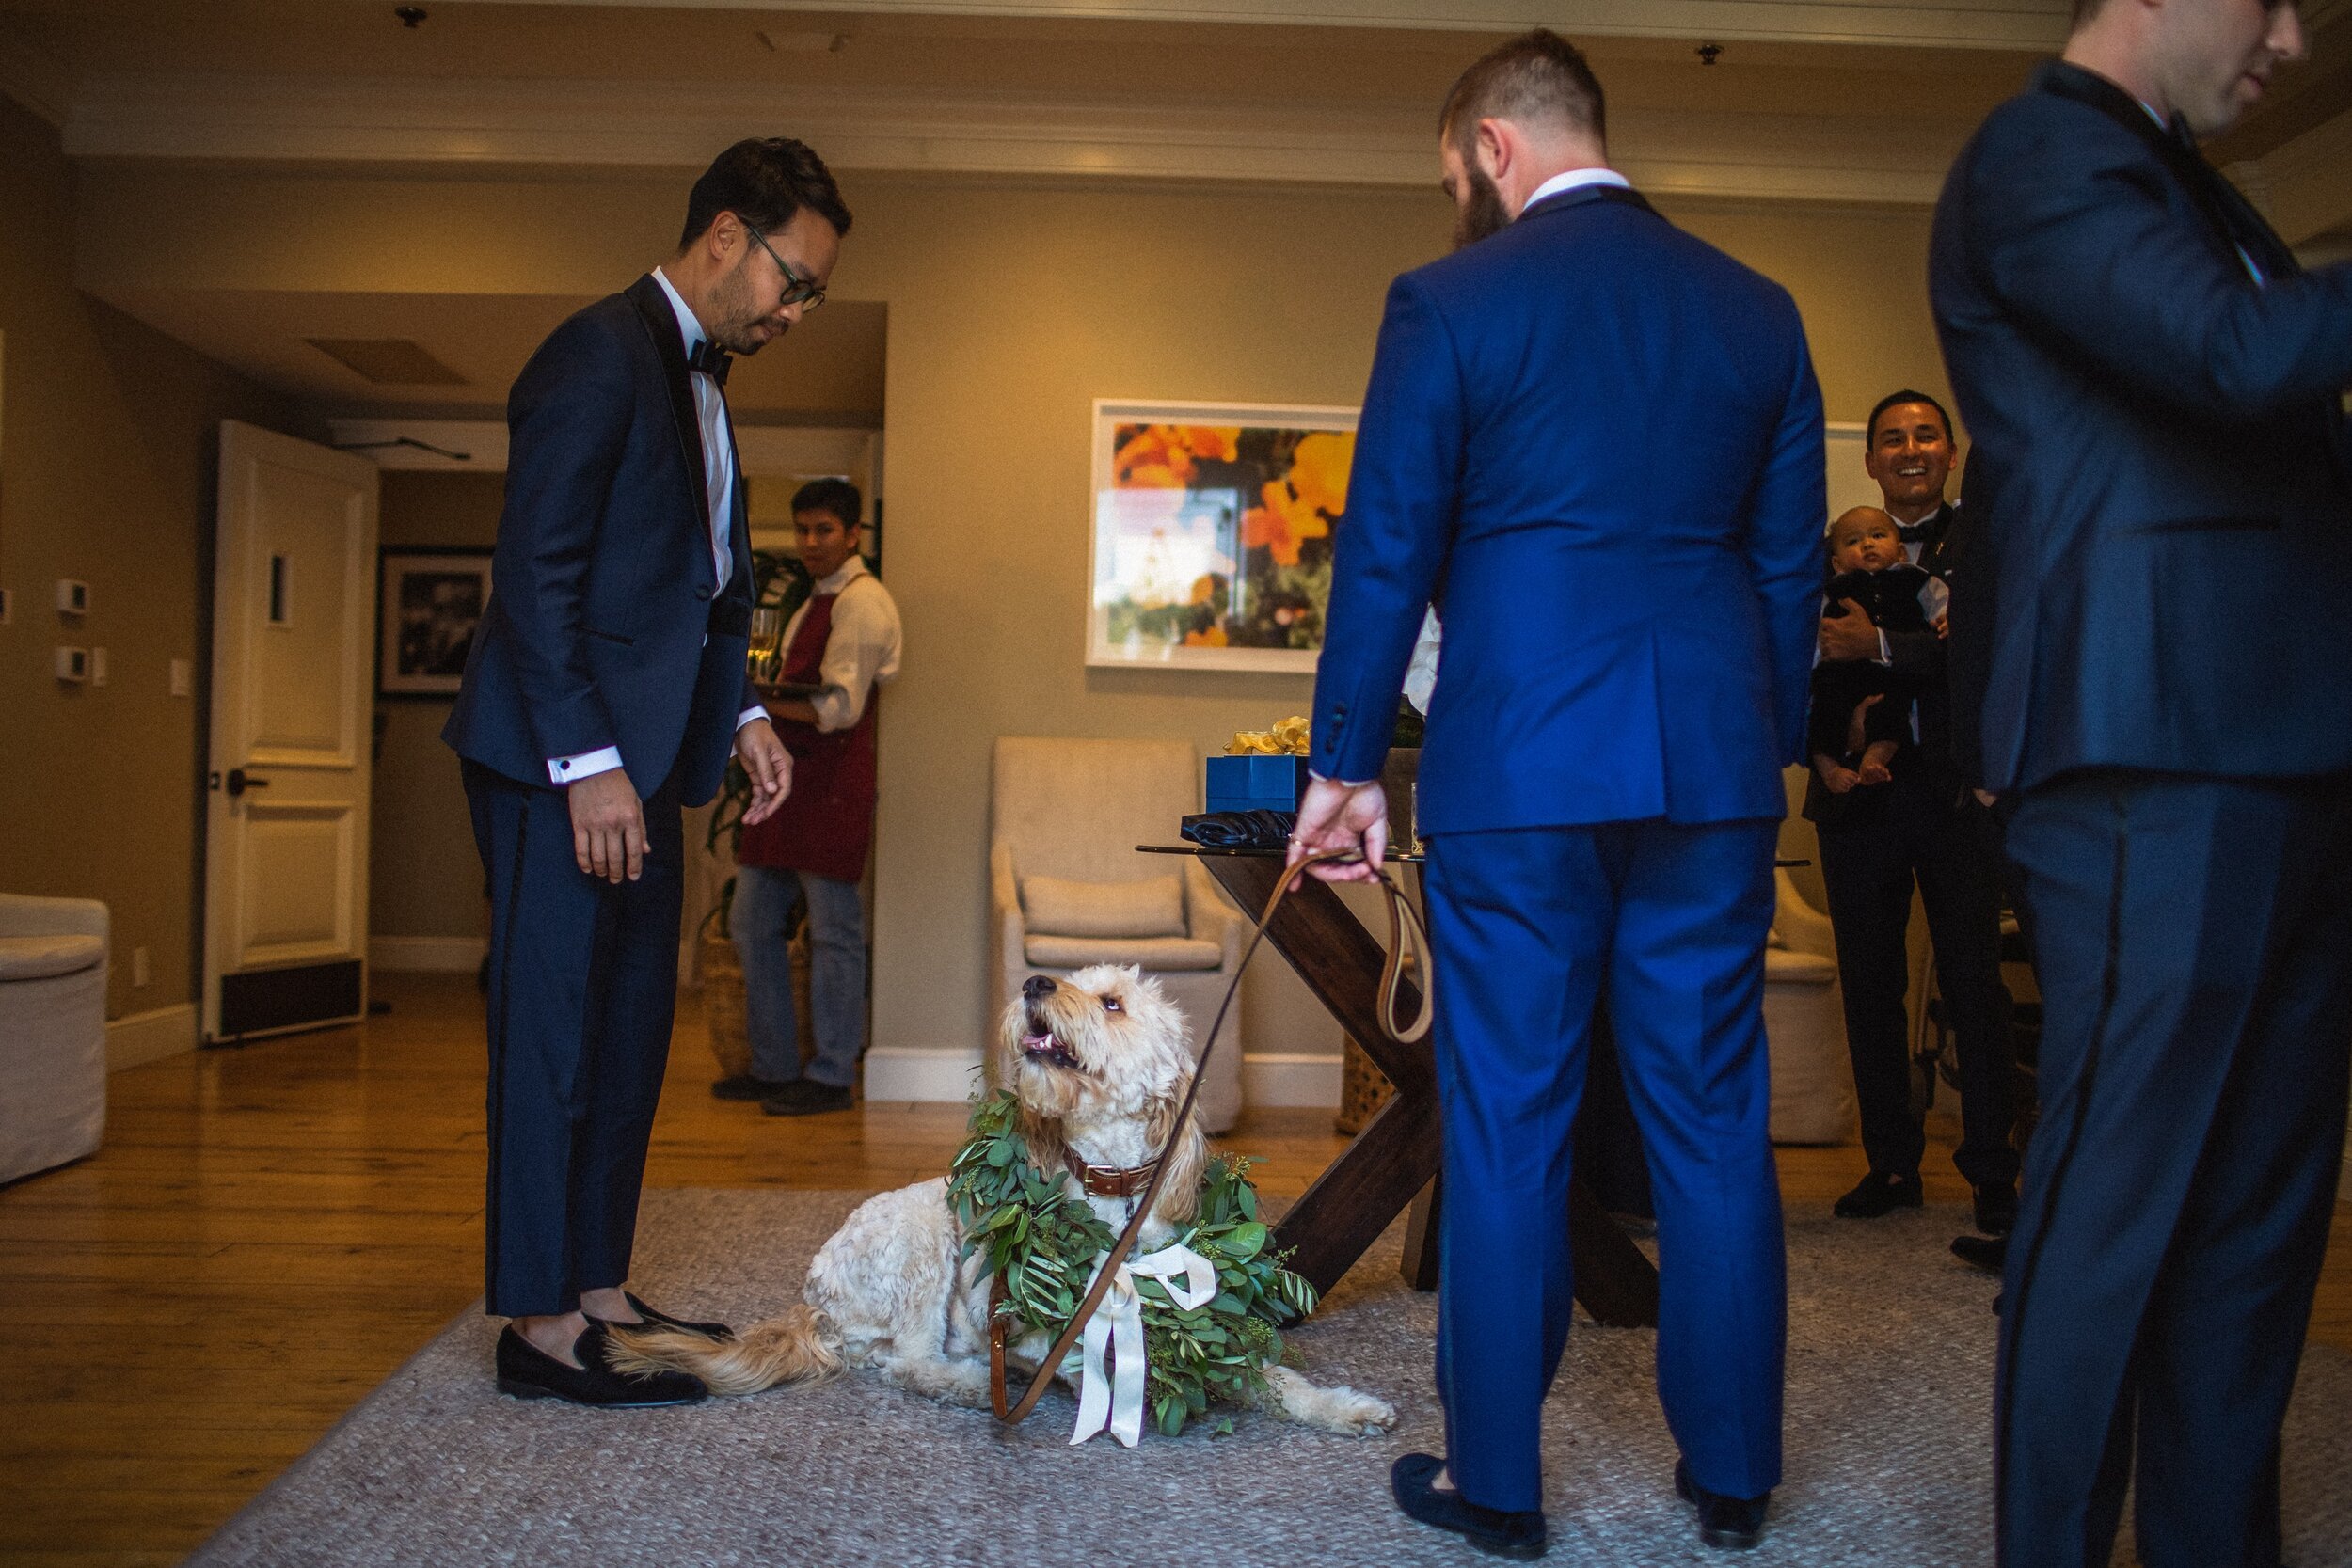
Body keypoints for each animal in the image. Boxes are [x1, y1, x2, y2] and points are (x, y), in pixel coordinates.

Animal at [616, 958, 1402, 1438]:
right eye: (1077, 982)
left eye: (1112, 1002)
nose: (1034, 982)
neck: (1109, 1188)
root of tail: (816, 1299)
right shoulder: (1040, 1323)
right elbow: (1086, 1359)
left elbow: (1270, 1374)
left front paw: (1345, 1406)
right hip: (925, 1244)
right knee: (907, 1362)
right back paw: (968, 1382)